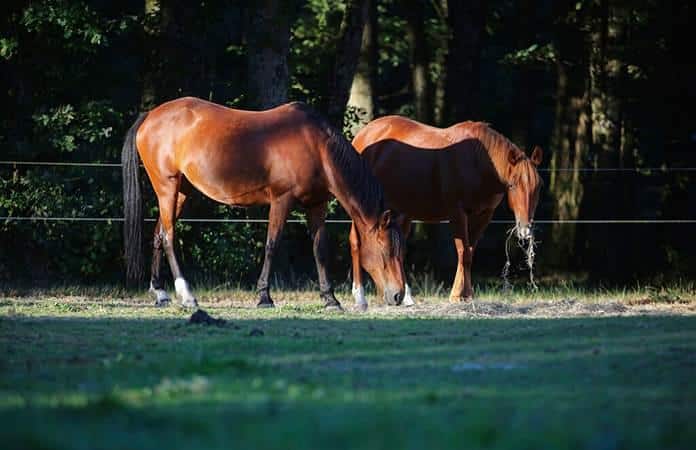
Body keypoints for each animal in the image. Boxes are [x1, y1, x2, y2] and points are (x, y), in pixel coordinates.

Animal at [121, 97, 406, 310]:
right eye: (386, 251)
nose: (398, 295)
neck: (316, 146)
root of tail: (150, 115)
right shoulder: (281, 200)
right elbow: (272, 245)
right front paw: (264, 297)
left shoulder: (316, 205)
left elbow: (319, 249)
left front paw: (330, 299)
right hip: (167, 188)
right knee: (169, 237)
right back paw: (187, 295)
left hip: (180, 193)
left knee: (159, 235)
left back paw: (160, 293)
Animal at [349, 115, 543, 307]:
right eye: (512, 185)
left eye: (538, 186)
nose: (525, 229)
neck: (479, 161)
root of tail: (363, 134)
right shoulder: (458, 214)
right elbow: (463, 253)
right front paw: (458, 295)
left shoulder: (484, 215)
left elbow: (470, 252)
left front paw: (467, 294)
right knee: (356, 242)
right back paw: (360, 296)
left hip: (400, 213)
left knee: (398, 250)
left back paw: (404, 297)